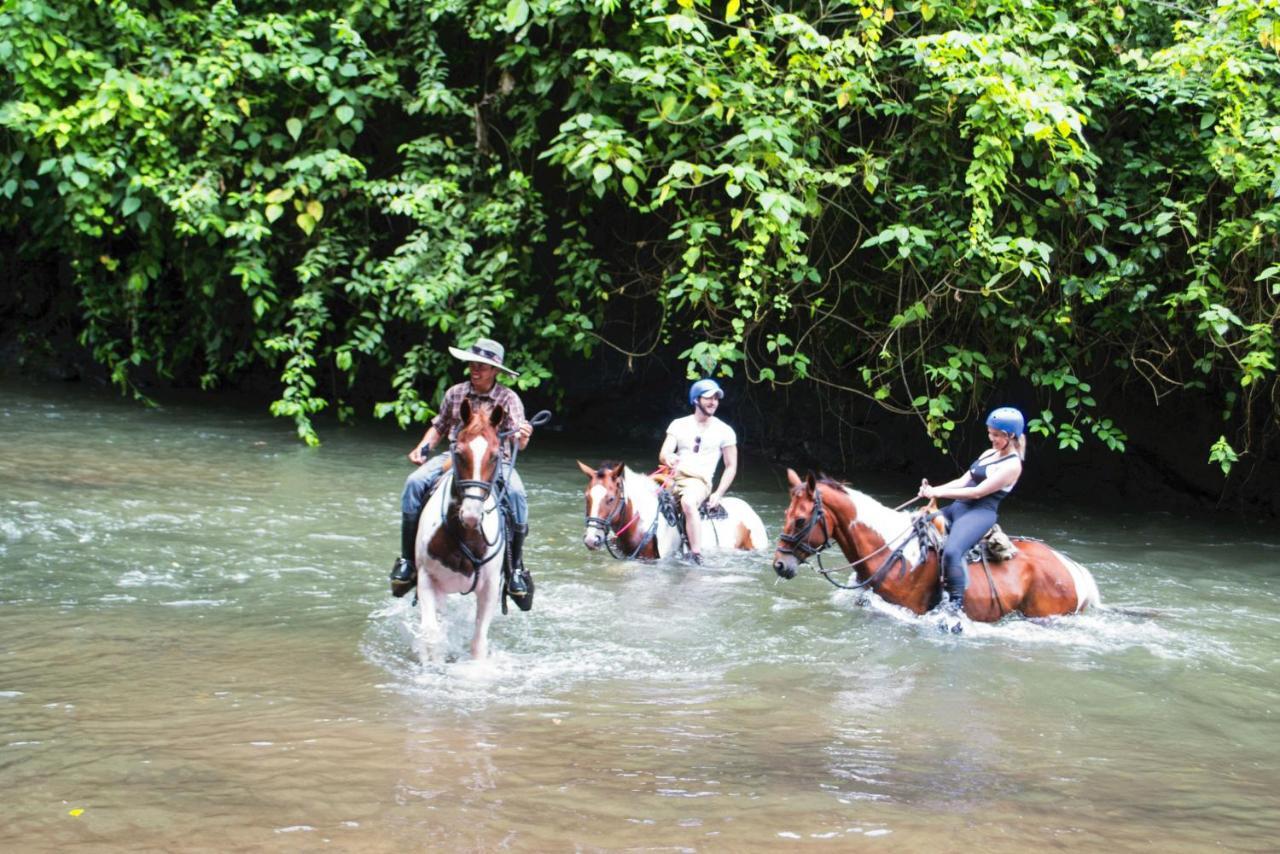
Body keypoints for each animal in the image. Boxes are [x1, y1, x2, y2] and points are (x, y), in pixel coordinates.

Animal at [412, 399, 506, 660]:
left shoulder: (490, 588)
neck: (466, 537)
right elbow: (431, 634)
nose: (472, 515)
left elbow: (478, 643)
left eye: (495, 456)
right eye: (460, 453)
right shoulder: (427, 579)